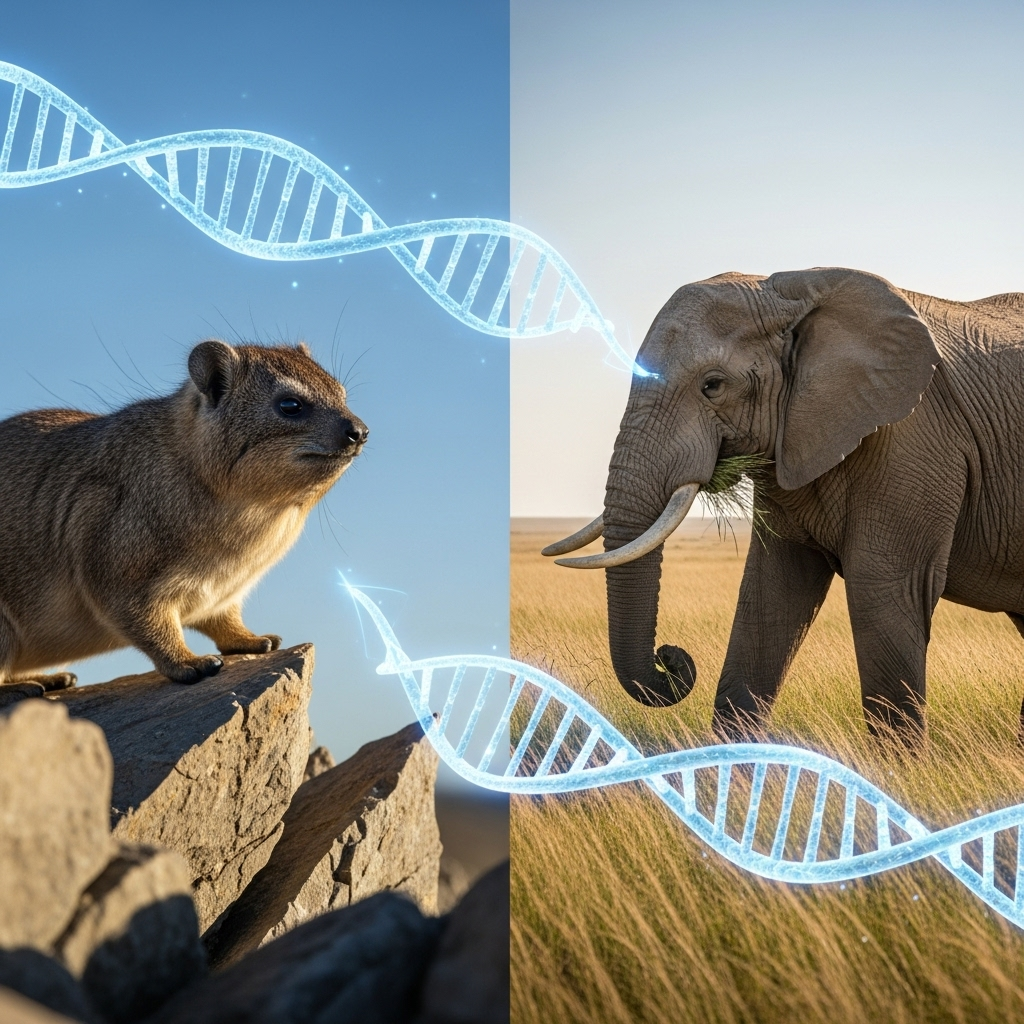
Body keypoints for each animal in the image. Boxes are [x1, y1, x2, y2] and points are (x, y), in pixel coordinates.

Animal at [544, 267, 1024, 741]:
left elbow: (884, 589)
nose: (671, 658)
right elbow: (771, 592)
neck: (791, 290)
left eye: (713, 386)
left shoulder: (914, 438)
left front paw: (898, 762)